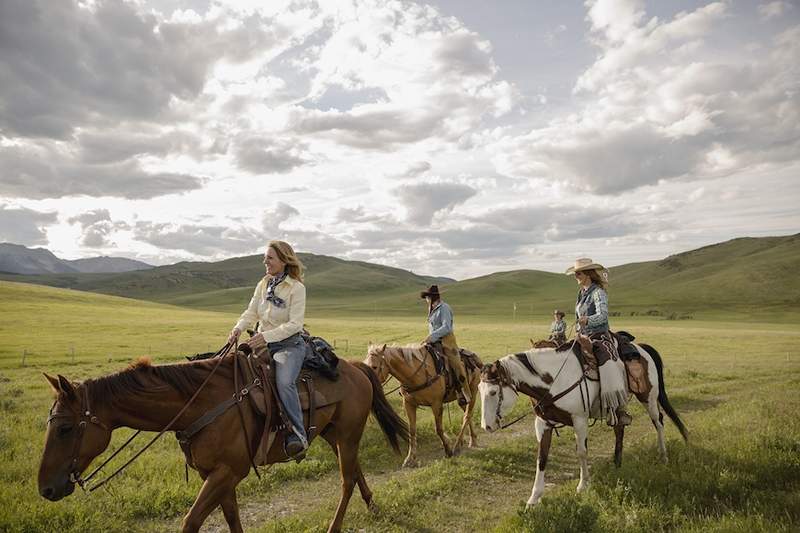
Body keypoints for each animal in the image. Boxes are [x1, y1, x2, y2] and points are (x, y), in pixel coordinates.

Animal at [37, 354, 410, 532]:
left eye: (65, 428)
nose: (46, 489)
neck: (199, 405)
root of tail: (357, 368)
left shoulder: (227, 472)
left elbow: (191, 522)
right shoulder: (216, 475)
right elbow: (231, 519)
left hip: (347, 435)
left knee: (346, 480)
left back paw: (335, 526)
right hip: (335, 435)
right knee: (355, 470)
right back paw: (372, 506)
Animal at [478, 342, 684, 504]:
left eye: (493, 392)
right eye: (479, 389)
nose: (486, 426)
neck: (555, 380)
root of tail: (642, 348)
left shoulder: (580, 420)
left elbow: (581, 452)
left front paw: (583, 485)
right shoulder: (543, 423)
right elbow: (541, 458)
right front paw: (533, 498)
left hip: (649, 397)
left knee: (658, 422)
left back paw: (663, 456)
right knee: (619, 429)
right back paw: (617, 463)